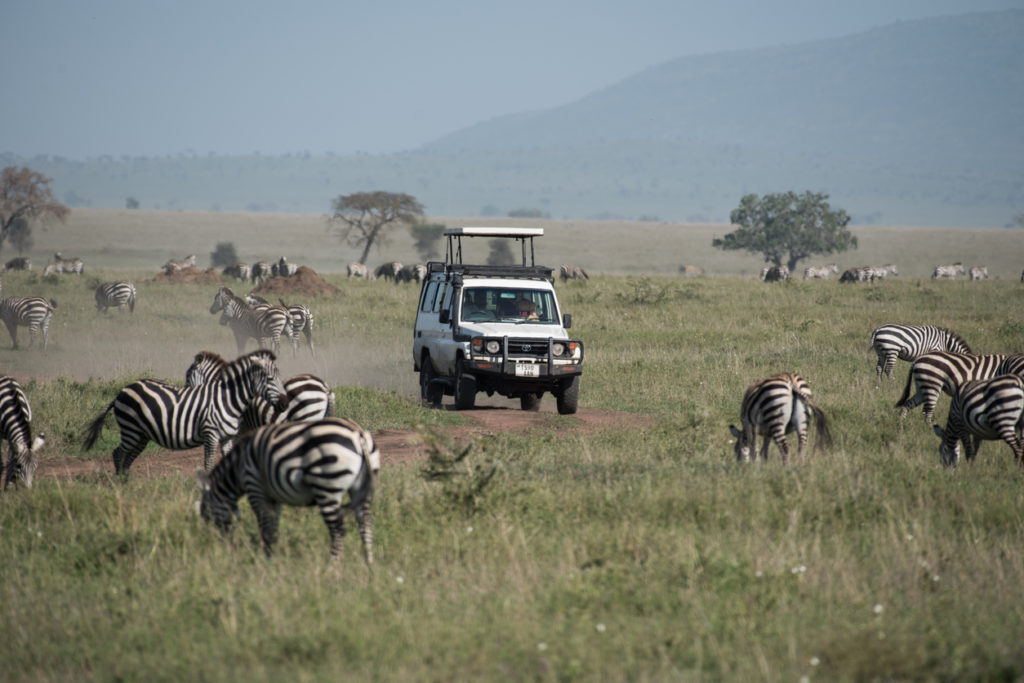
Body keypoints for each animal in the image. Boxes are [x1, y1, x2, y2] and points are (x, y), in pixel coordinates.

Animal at [81, 348, 290, 475]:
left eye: (277, 377)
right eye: (270, 379)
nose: (285, 403)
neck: (228, 399)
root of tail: (121, 391)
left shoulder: (229, 437)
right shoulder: (211, 434)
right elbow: (208, 464)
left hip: (140, 434)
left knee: (128, 457)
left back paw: (126, 483)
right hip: (131, 429)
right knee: (119, 453)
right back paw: (118, 485)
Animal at [195, 417, 380, 561]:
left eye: (206, 515)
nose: (221, 547)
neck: (237, 468)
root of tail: (357, 433)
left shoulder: (255, 487)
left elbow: (265, 526)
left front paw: (266, 560)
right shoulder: (273, 497)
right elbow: (273, 527)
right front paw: (272, 556)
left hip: (327, 485)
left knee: (338, 531)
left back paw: (331, 569)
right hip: (361, 487)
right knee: (366, 523)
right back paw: (369, 565)